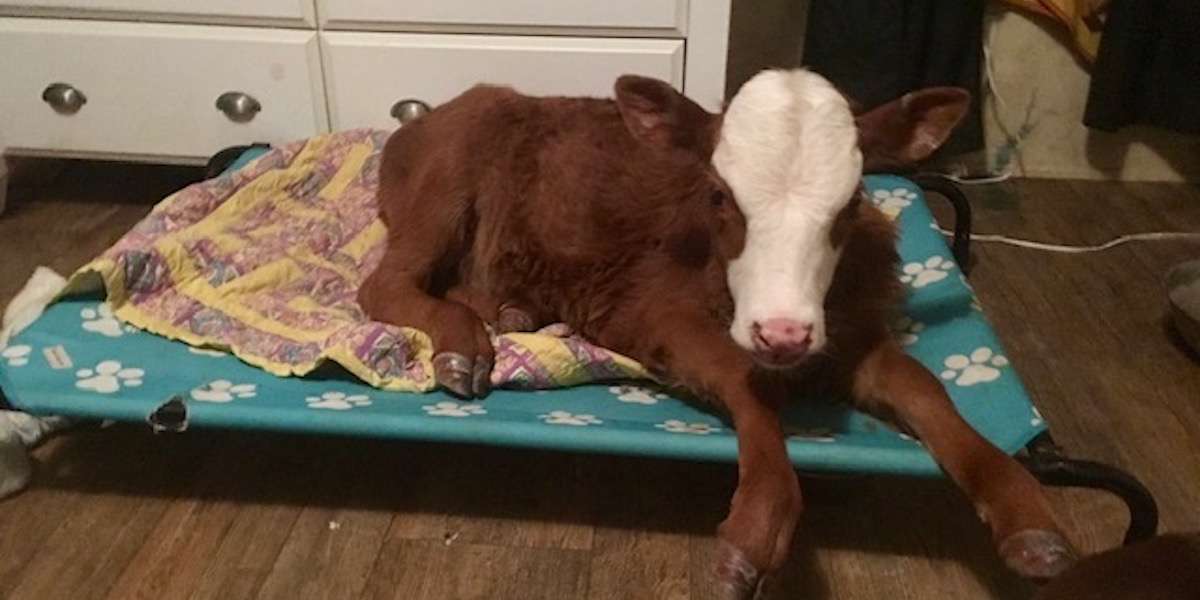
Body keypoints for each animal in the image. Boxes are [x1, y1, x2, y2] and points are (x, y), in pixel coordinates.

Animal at [358, 69, 1076, 597]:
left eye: (850, 203)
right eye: (721, 197)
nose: (783, 334)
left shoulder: (851, 331)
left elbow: (927, 389)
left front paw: (1029, 519)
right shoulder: (652, 308)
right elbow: (742, 380)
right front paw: (755, 527)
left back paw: (511, 314)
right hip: (443, 187)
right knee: (383, 285)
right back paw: (464, 347)